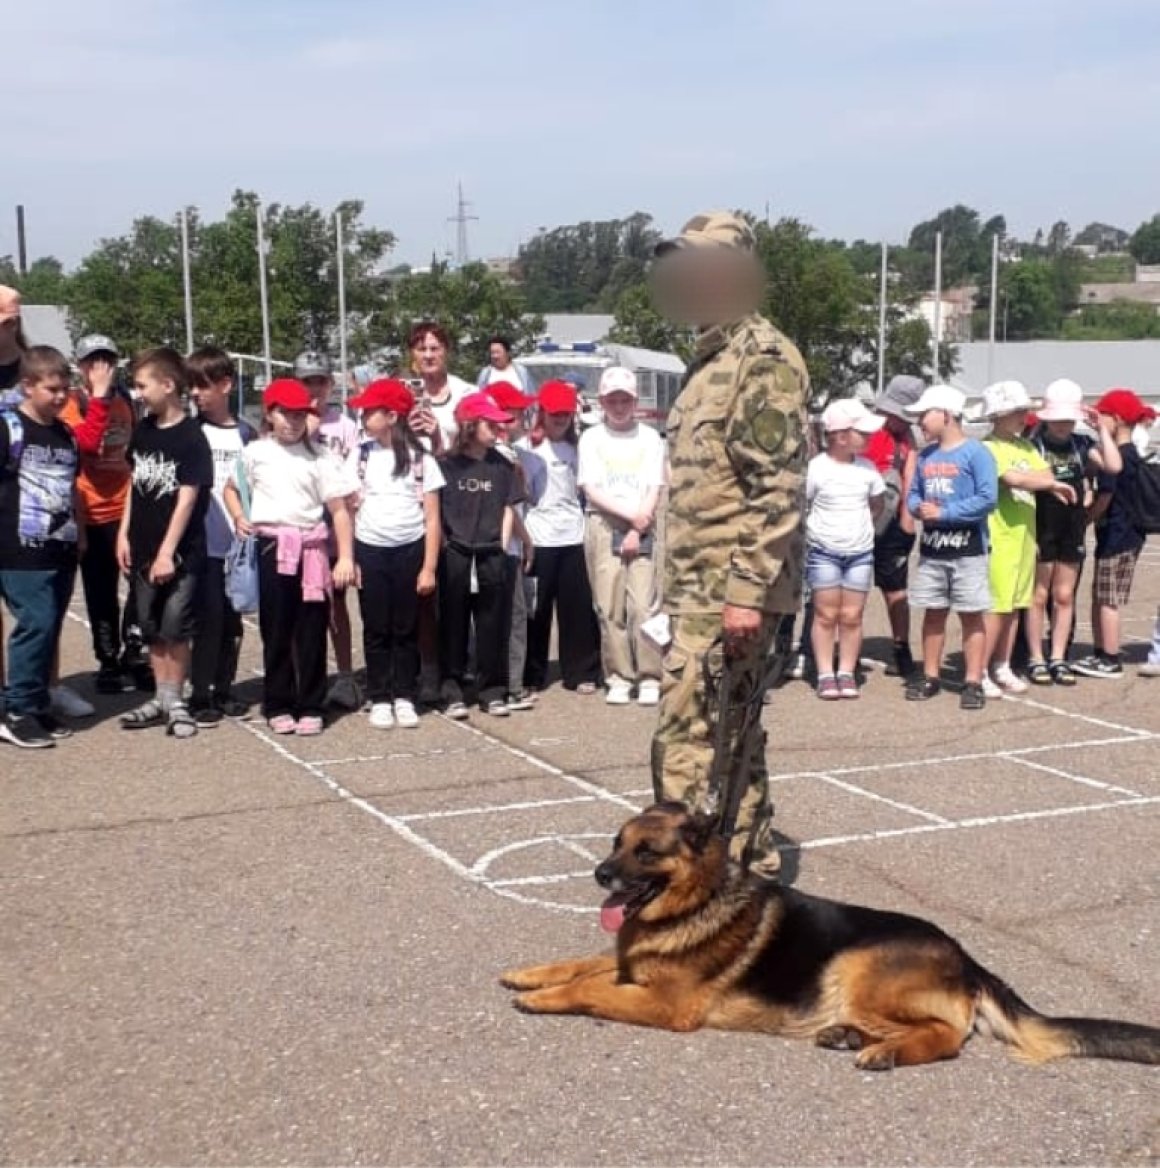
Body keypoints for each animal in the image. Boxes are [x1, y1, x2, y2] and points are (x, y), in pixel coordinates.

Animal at [502, 803, 1158, 1069]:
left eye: (647, 852)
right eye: (616, 842)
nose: (600, 875)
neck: (695, 902)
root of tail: (967, 960)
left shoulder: (665, 1003)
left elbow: (591, 989)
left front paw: (540, 999)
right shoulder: (627, 963)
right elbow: (580, 962)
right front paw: (529, 973)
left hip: (856, 968)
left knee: (948, 1036)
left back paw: (882, 1052)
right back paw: (847, 1036)